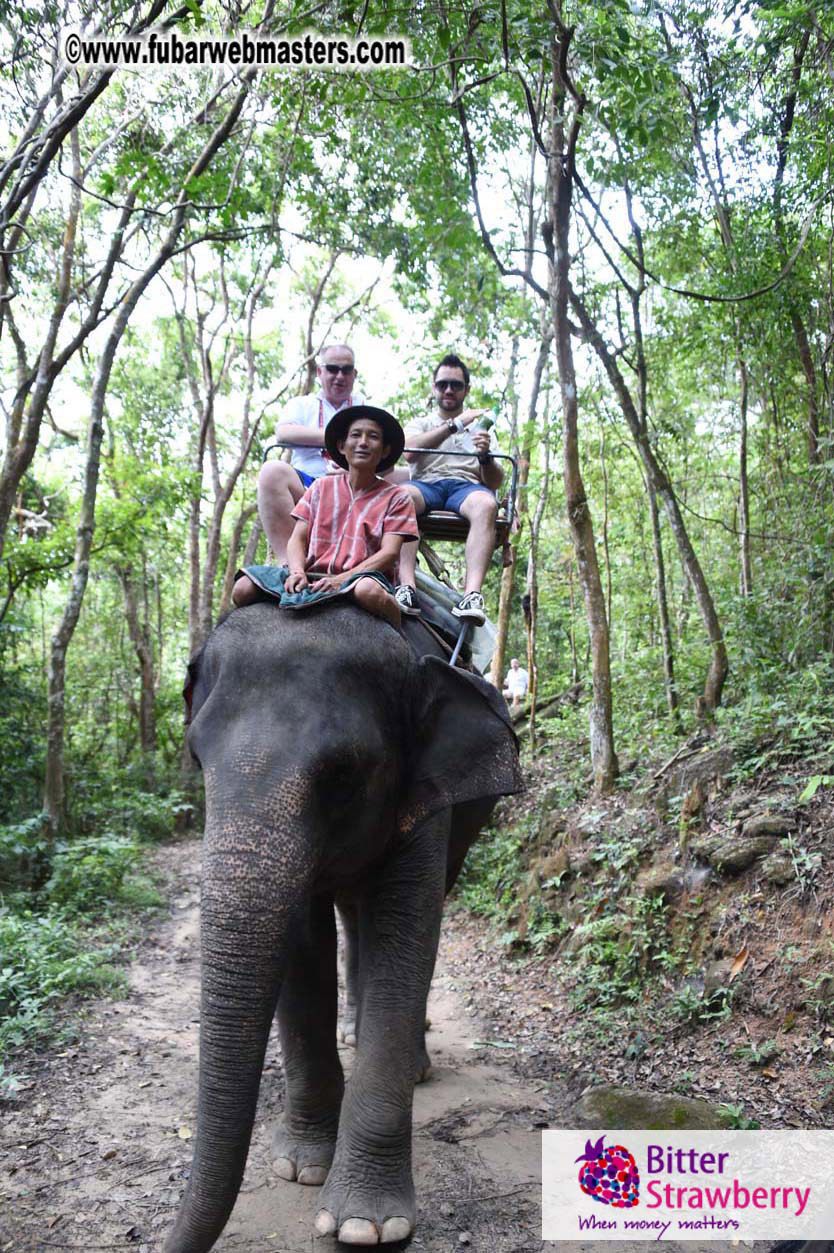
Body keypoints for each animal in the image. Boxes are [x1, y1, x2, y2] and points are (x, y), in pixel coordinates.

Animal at [165, 599, 522, 1252]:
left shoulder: (427, 796)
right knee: (354, 918)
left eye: (343, 772)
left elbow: (407, 931)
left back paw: (415, 1064)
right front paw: (300, 1166)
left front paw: (365, 1224)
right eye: (197, 758)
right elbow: (304, 946)